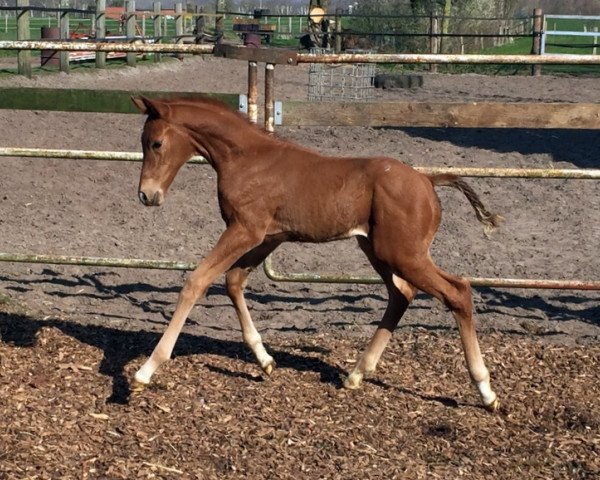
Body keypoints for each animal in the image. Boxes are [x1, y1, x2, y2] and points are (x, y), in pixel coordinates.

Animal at [130, 95, 502, 410]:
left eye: (156, 143)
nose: (146, 195)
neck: (246, 158)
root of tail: (428, 181)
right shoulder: (268, 237)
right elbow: (234, 281)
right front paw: (265, 360)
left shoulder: (245, 230)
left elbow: (196, 281)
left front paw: (145, 371)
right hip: (377, 250)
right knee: (402, 294)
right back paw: (356, 374)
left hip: (404, 254)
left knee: (458, 291)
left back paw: (486, 391)